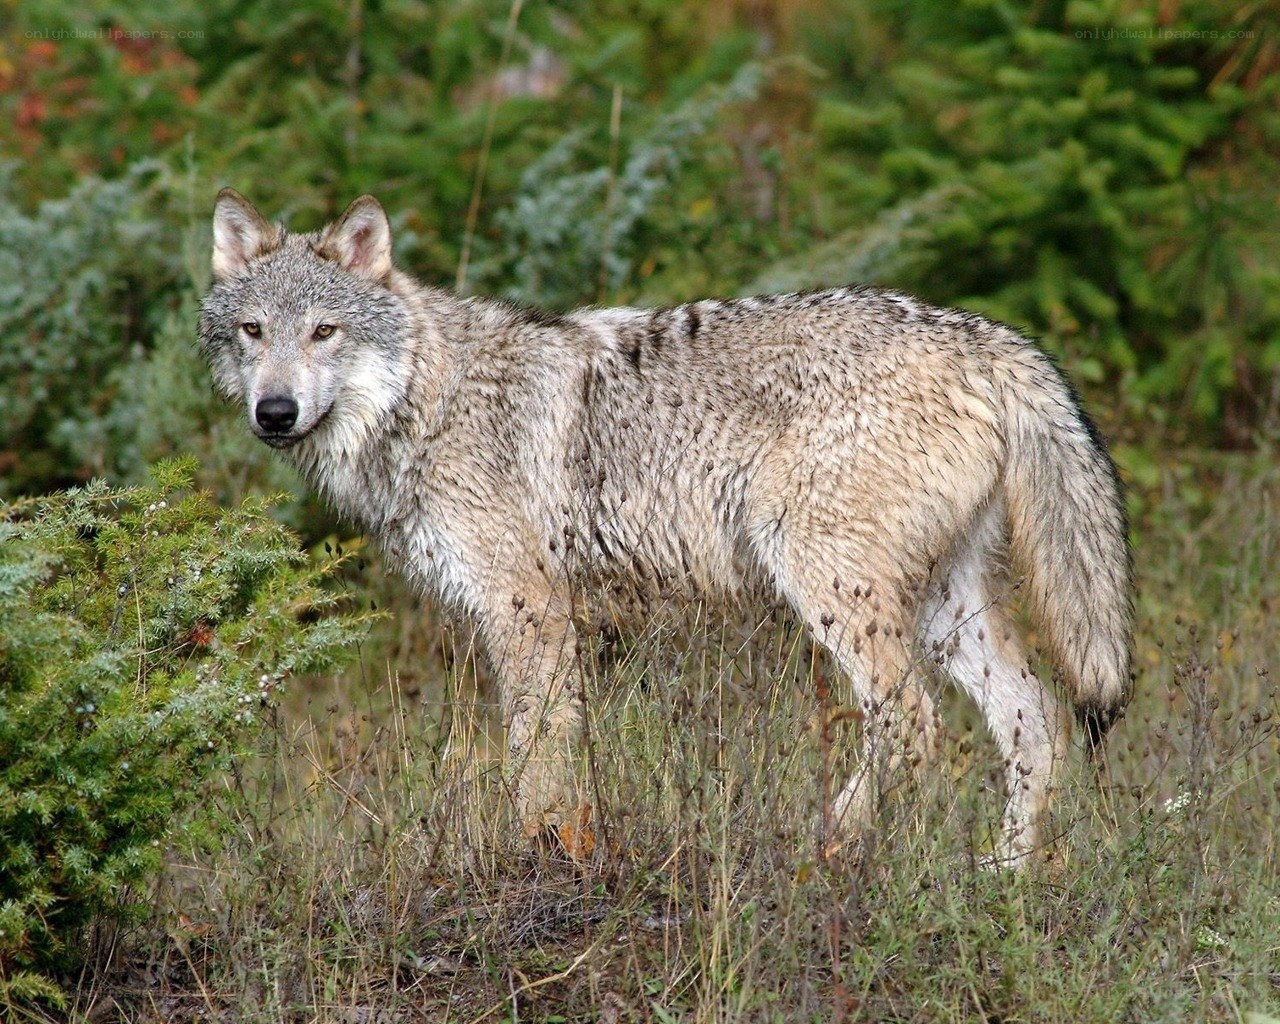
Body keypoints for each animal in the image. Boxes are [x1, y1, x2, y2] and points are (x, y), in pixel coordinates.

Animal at [199, 189, 1132, 865]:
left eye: (325, 332)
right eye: (254, 332)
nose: (274, 413)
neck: (427, 402)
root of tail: (986, 336)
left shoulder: (529, 614)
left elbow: (534, 761)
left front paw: (534, 859)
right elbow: (563, 762)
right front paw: (569, 849)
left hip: (830, 587)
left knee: (912, 723)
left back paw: (834, 842)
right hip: (945, 611)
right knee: (1039, 724)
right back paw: (1002, 885)